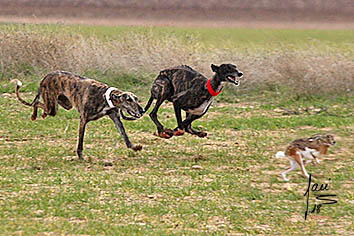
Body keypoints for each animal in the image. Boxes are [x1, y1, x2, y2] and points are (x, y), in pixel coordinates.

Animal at [13, 71, 144, 159]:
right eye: (128, 100)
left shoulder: (116, 119)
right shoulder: (83, 119)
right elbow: (80, 141)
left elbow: (125, 137)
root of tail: (45, 77)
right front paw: (80, 157)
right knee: (36, 103)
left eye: (136, 99)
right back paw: (34, 115)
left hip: (64, 104)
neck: (105, 96)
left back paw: (42, 114)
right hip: (53, 107)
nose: (142, 110)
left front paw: (135, 147)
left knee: (41, 104)